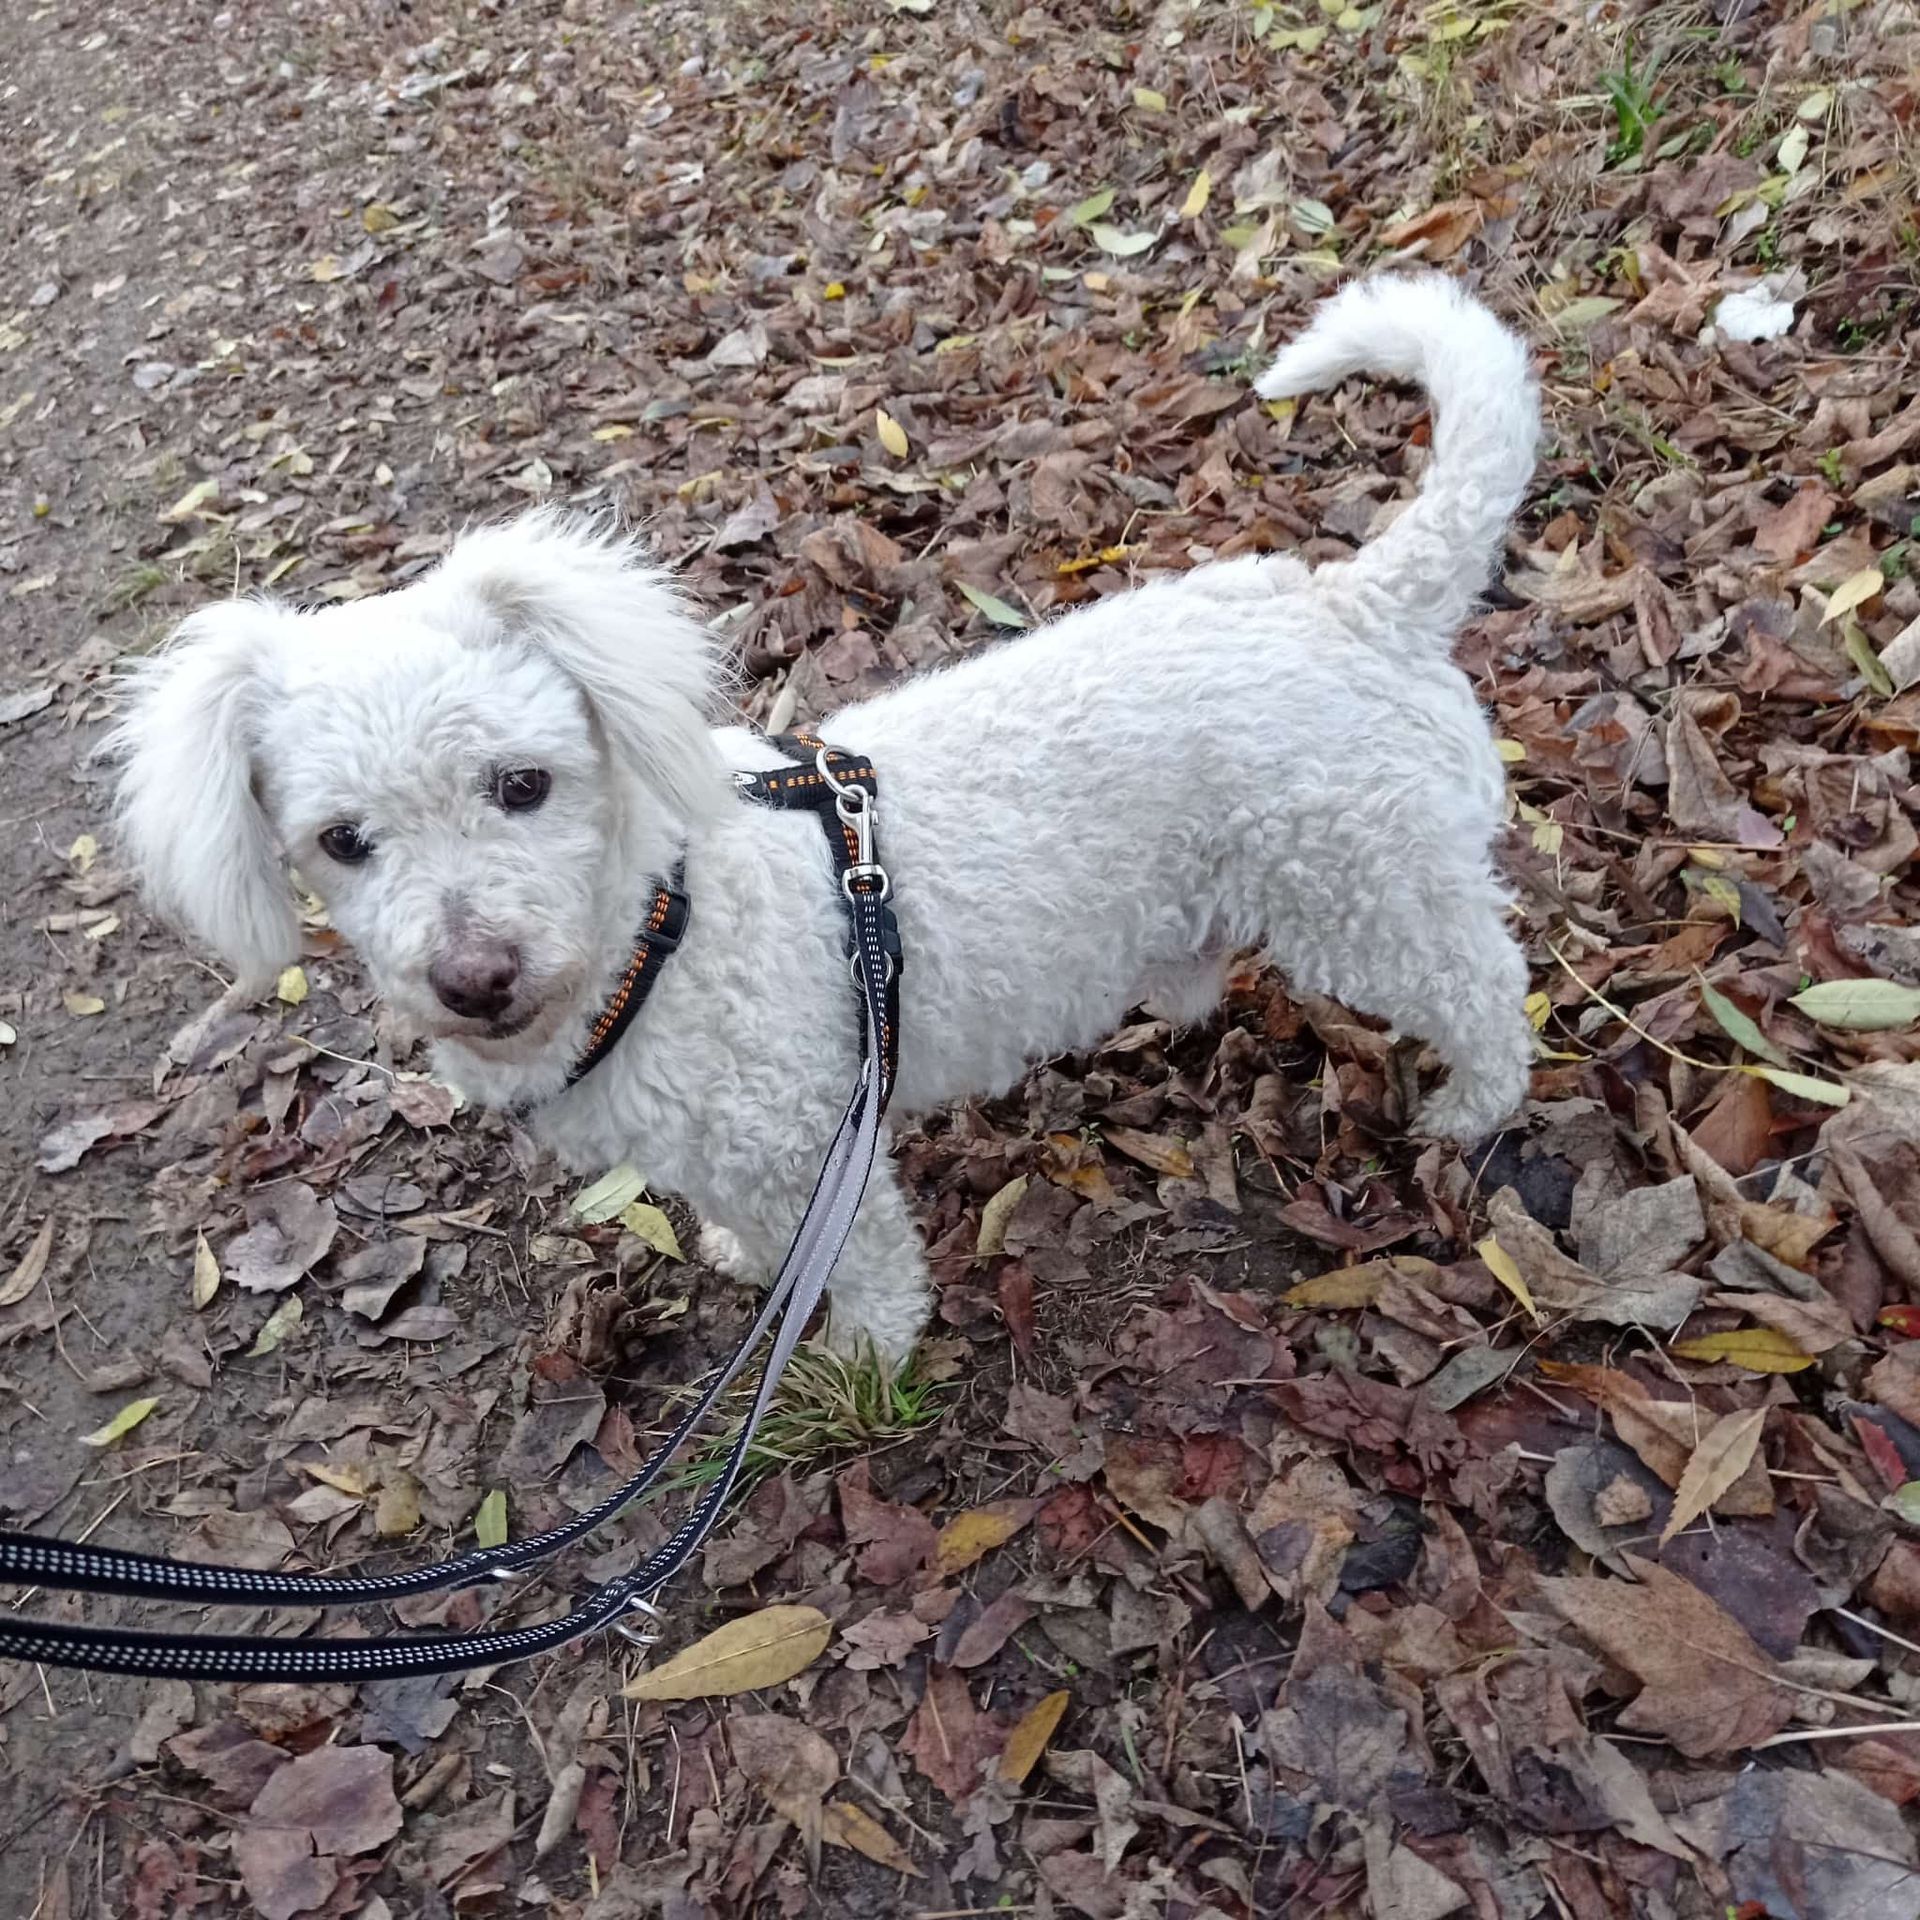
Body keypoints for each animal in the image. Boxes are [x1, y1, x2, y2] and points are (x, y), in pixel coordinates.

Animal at [112, 273, 1538, 1367]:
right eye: (343, 842)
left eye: (523, 784)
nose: (475, 977)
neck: (659, 925)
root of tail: (1357, 602)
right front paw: (746, 1261)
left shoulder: (806, 1144)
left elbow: (867, 1272)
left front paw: (862, 1356)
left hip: (1369, 890)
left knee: (1484, 990)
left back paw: (1470, 1110)